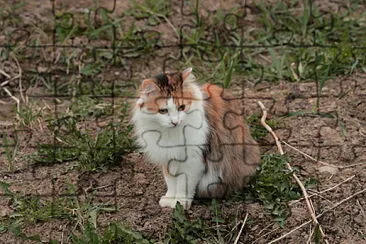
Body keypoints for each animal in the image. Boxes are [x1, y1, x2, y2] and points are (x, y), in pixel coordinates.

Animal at [132, 67, 260, 210]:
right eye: (163, 111)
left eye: (181, 107)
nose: (175, 122)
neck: (172, 133)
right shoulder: (167, 158)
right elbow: (170, 182)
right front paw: (170, 199)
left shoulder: (193, 160)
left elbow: (183, 184)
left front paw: (180, 203)